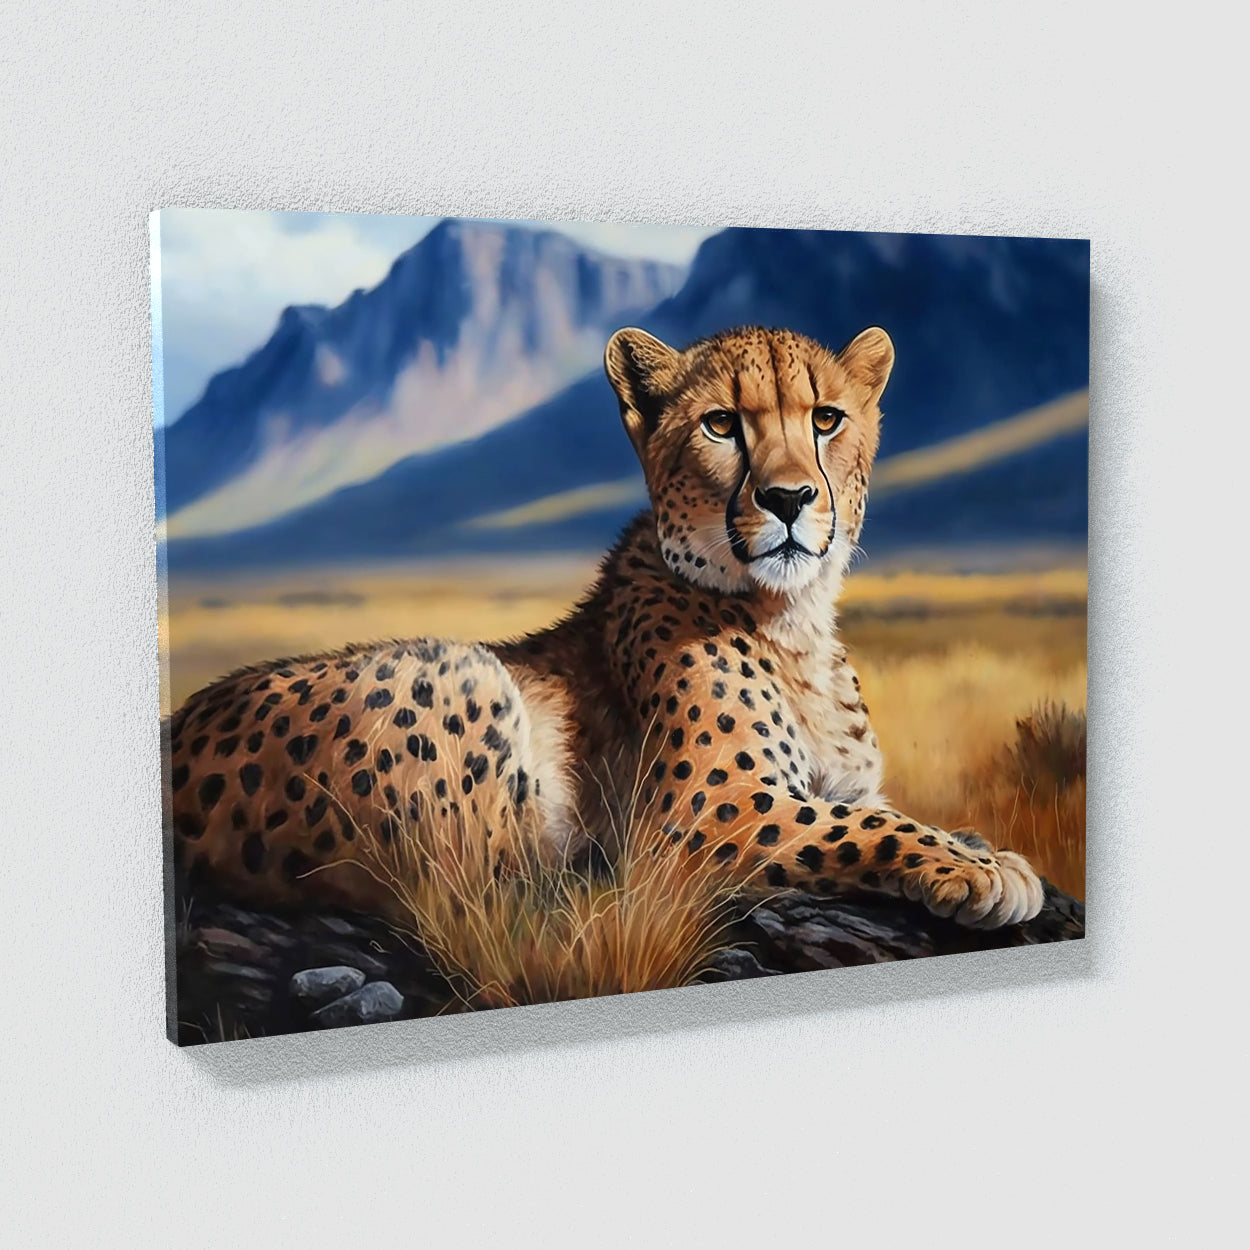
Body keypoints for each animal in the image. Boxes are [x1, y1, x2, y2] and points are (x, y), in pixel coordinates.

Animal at [166, 324, 1044, 934]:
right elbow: (866, 826)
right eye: (722, 425)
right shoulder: (707, 815)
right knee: (478, 898)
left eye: (827, 418)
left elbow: (883, 810)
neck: (792, 623)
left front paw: (979, 849)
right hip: (462, 672)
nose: (790, 498)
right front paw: (983, 868)